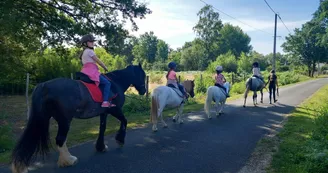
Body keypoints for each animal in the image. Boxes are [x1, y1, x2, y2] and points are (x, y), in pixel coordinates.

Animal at [10, 63, 146, 173]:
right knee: (60, 139)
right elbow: (124, 121)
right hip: (64, 121)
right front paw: (120, 140)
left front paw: (101, 147)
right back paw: (69, 160)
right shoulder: (115, 110)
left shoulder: (104, 113)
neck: (115, 83)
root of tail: (44, 86)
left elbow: (102, 129)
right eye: (143, 76)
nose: (144, 91)